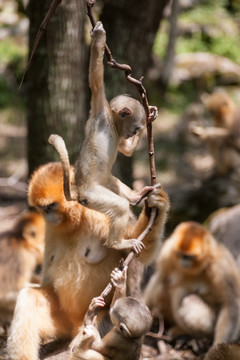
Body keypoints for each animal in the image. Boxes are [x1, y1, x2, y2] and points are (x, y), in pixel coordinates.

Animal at [6, 162, 170, 358]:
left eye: (51, 206)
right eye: (42, 208)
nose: (46, 215)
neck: (75, 221)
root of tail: (73, 322)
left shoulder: (102, 212)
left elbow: (137, 249)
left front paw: (156, 204)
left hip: (103, 317)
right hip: (61, 317)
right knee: (28, 297)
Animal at [48, 21, 158, 255]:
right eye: (135, 129)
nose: (133, 133)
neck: (112, 124)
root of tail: (78, 191)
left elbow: (125, 150)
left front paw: (151, 114)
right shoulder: (100, 108)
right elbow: (95, 80)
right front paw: (99, 37)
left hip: (105, 182)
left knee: (116, 187)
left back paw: (135, 197)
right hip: (92, 195)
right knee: (119, 206)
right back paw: (117, 243)